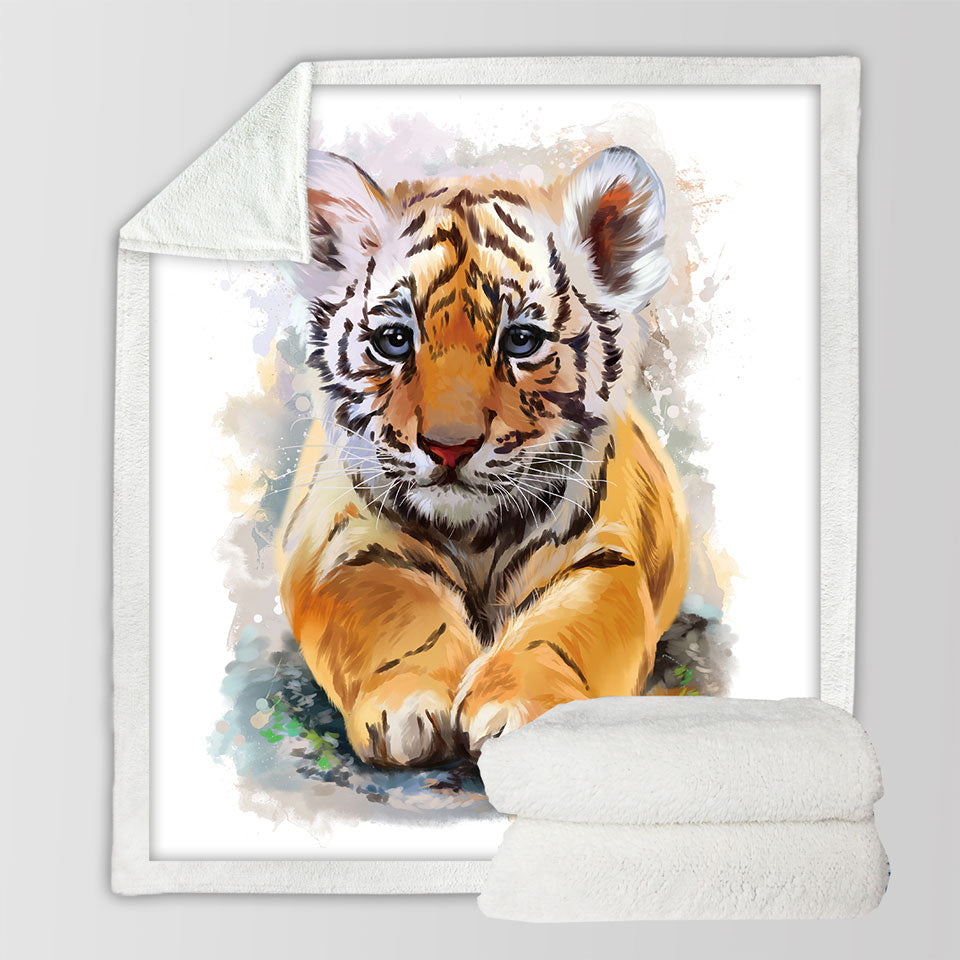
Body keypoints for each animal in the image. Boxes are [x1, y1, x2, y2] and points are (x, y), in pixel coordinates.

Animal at [276, 145, 689, 769]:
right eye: (395, 340)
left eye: (520, 340)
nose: (450, 446)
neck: (475, 537)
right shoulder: (343, 545)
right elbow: (398, 612)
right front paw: (410, 702)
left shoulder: (606, 557)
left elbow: (562, 632)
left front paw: (523, 711)